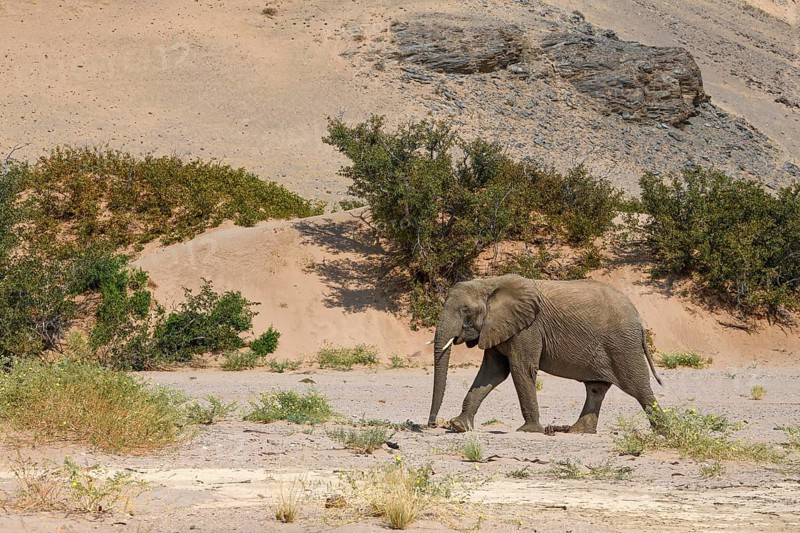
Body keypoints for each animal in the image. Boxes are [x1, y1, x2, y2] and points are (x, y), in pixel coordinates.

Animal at [427, 274, 662, 434]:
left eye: (465, 311)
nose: (432, 424)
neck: (490, 283)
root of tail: (639, 319)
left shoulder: (528, 328)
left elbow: (521, 369)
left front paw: (529, 431)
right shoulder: (497, 327)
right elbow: (492, 373)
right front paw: (459, 425)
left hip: (623, 345)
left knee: (638, 387)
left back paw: (663, 431)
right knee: (596, 388)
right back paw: (578, 432)